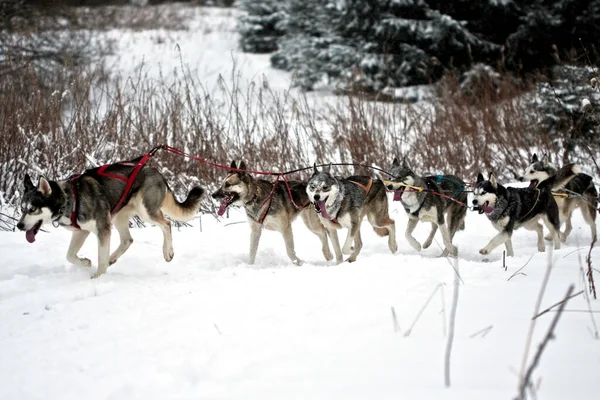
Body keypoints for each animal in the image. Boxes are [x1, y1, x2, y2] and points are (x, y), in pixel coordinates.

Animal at [15, 161, 204, 276]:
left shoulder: (103, 228)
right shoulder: (81, 231)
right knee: (128, 240)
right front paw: (85, 263)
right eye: (22, 209)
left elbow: (100, 259)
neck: (69, 198)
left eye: (32, 209)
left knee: (167, 224)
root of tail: (156, 171)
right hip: (119, 216)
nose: (19, 225)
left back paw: (168, 252)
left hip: (146, 212)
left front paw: (98, 277)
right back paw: (112, 257)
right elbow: (69, 255)